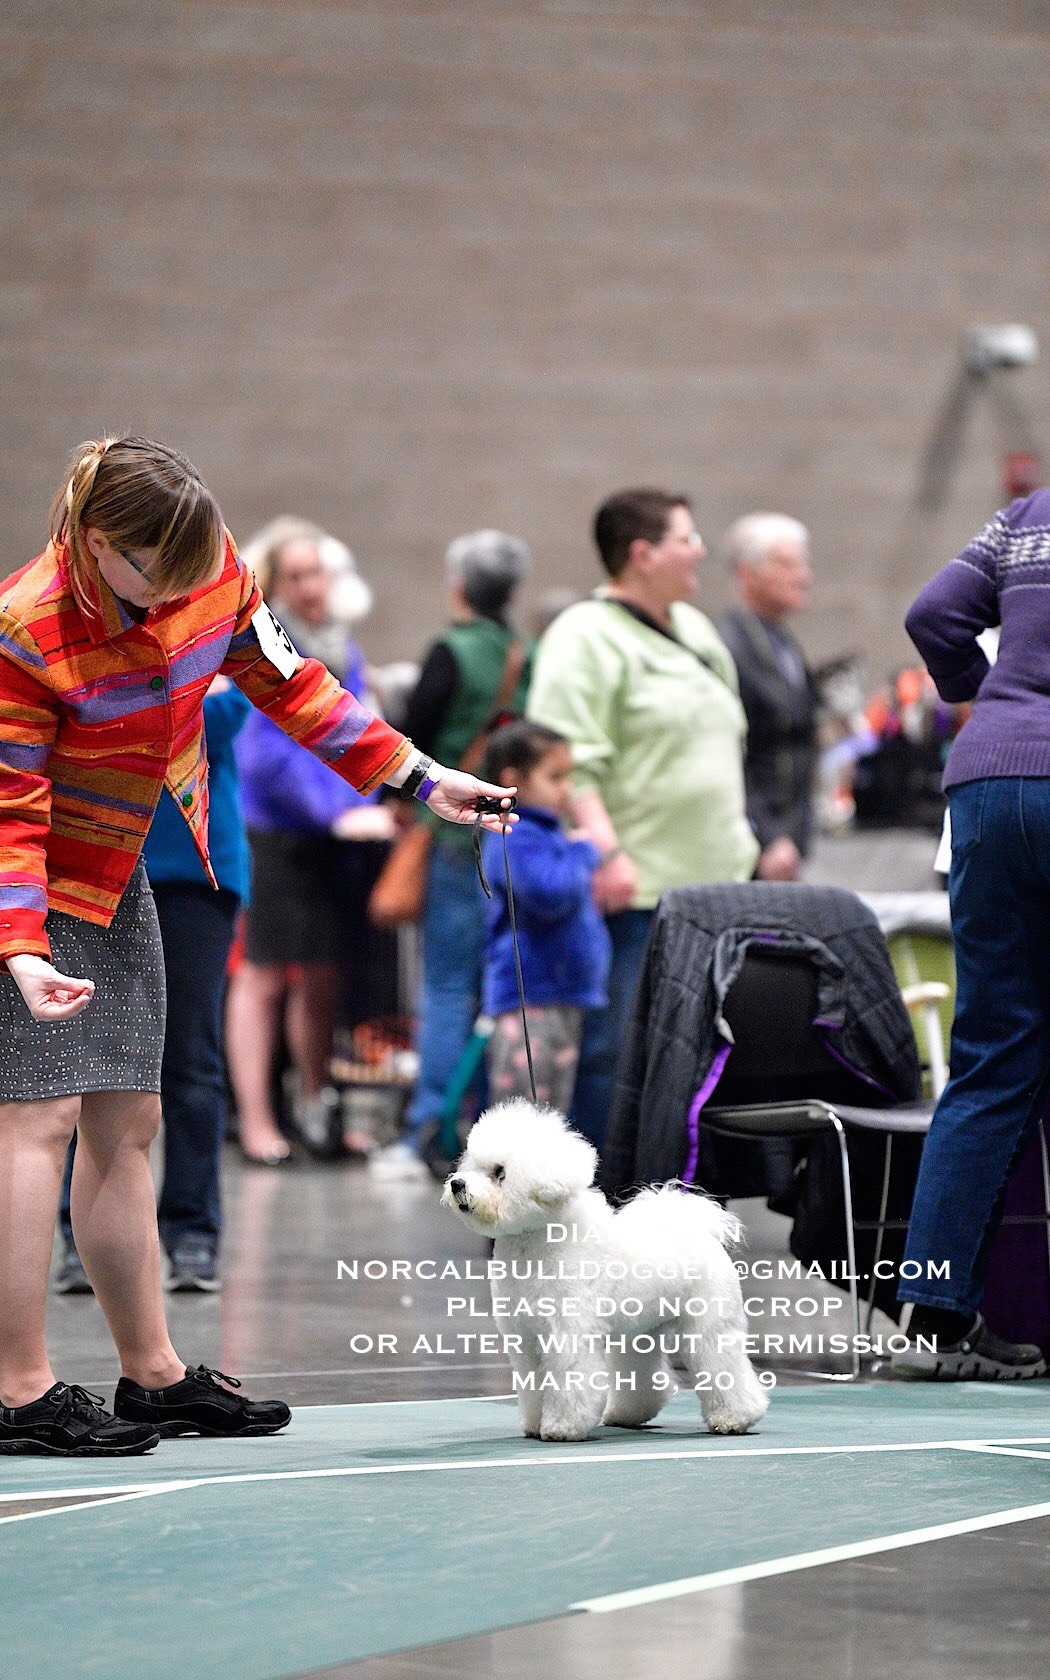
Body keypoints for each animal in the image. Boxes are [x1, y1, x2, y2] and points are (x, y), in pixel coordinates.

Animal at [436, 1102, 766, 1444]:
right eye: (472, 1165)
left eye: (500, 1172)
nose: (457, 1184)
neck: (537, 1243)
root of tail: (695, 1228)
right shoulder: (526, 1339)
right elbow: (533, 1384)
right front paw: (534, 1424)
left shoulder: (568, 1335)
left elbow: (569, 1382)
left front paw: (562, 1428)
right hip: (640, 1332)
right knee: (641, 1371)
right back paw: (627, 1415)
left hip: (708, 1324)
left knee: (722, 1363)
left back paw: (734, 1418)